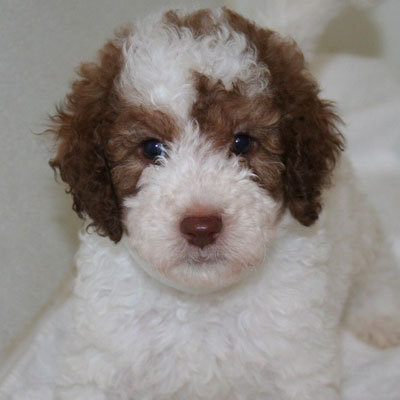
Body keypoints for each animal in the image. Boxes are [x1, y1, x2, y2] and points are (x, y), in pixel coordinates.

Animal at [47, 7, 400, 400]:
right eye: (151, 148)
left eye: (242, 143)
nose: (201, 227)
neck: (202, 299)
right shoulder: (102, 355)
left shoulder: (295, 362)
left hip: (353, 218)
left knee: (374, 262)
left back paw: (380, 314)